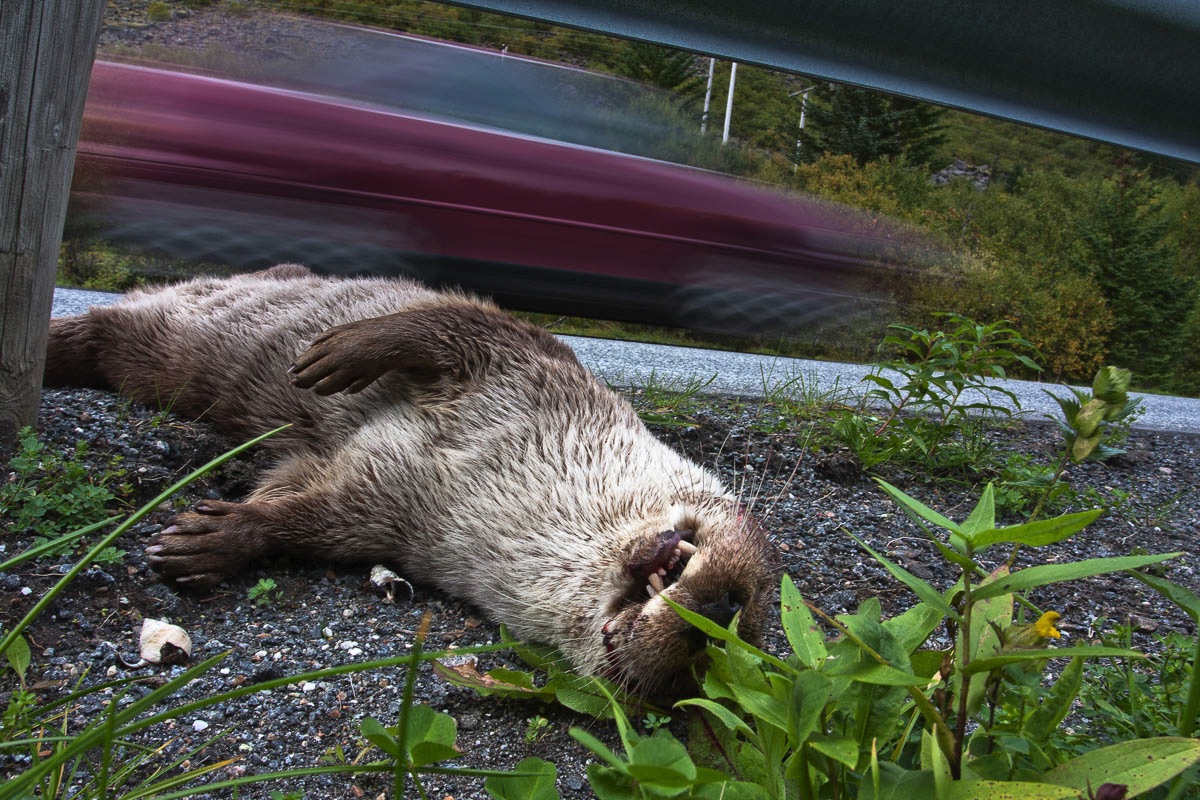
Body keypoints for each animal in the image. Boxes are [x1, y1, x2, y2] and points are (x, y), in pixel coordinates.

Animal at [44, 267, 777, 695]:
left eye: (697, 671)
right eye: (739, 608)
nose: (713, 617)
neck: (506, 479)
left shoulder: (389, 518)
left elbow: (304, 515)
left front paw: (217, 537)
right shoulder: (527, 362)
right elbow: (448, 322)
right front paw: (345, 350)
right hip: (185, 338)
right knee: (109, 324)